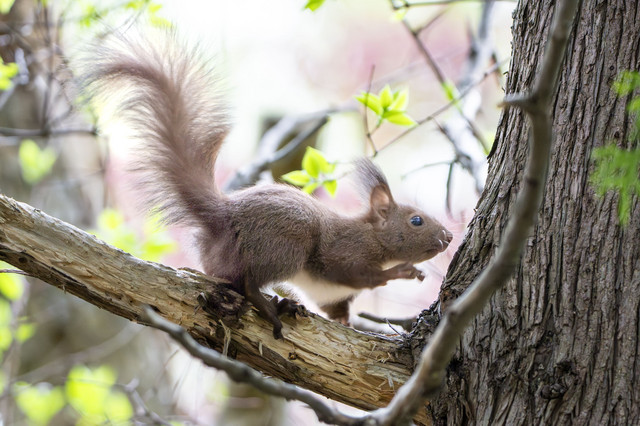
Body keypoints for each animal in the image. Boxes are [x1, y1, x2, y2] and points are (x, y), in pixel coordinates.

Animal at [80, 32, 453, 339]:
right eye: (416, 220)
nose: (448, 237)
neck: (374, 236)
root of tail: (223, 217)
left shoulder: (333, 297)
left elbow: (338, 311)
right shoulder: (345, 253)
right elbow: (360, 274)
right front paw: (404, 271)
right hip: (287, 243)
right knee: (248, 284)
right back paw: (269, 306)